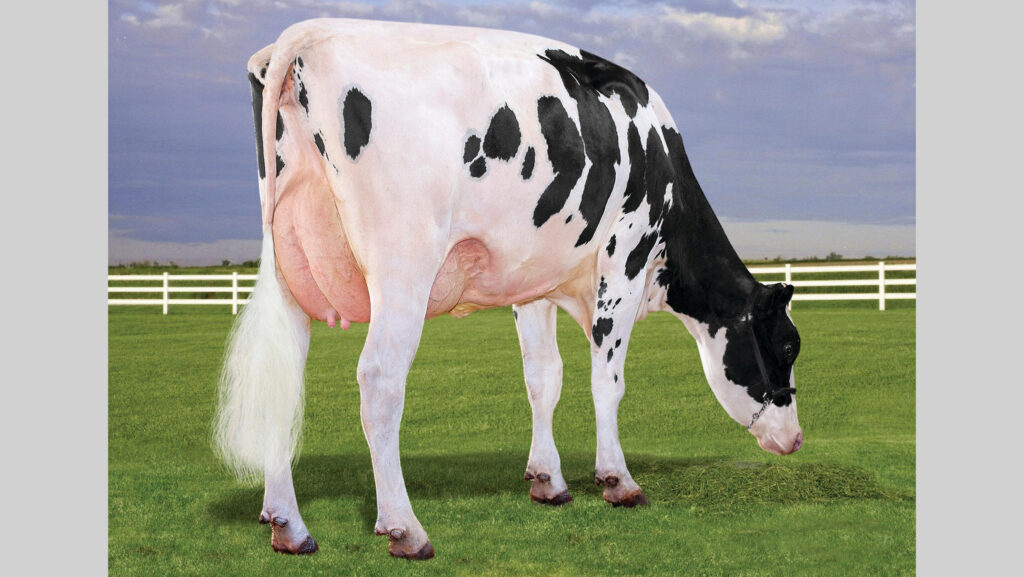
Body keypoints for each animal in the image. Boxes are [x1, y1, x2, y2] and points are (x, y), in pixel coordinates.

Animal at [214, 18, 803, 560]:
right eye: (788, 345)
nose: (795, 439)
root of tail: (311, 32)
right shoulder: (626, 257)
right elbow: (606, 381)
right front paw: (618, 480)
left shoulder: (533, 283)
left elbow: (544, 378)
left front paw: (548, 481)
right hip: (404, 266)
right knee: (379, 382)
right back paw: (404, 528)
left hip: (288, 265)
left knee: (281, 380)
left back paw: (288, 525)